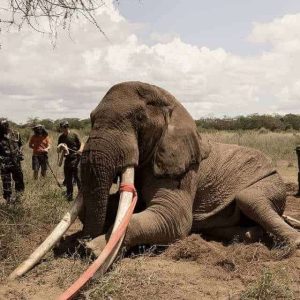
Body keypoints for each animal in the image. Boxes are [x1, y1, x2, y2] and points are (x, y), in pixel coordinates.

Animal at [77, 80, 300, 253]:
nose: (81, 241)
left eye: (139, 118)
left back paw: (293, 244)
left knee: (249, 198)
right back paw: (248, 234)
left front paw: (94, 249)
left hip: (271, 180)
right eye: (91, 118)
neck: (172, 105)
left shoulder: (182, 169)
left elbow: (174, 218)